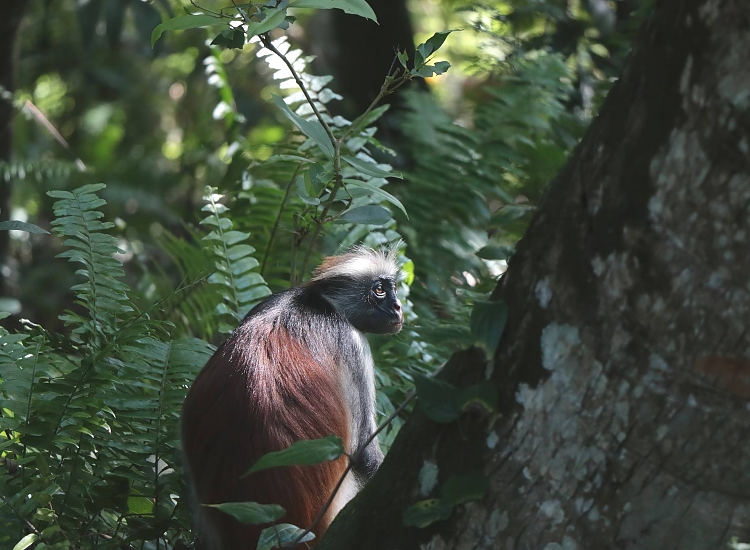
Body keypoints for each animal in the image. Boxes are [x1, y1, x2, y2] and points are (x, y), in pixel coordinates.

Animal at [180, 247, 403, 549]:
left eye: (392, 289)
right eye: (379, 290)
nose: (398, 307)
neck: (315, 304)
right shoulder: (352, 343)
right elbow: (364, 455)